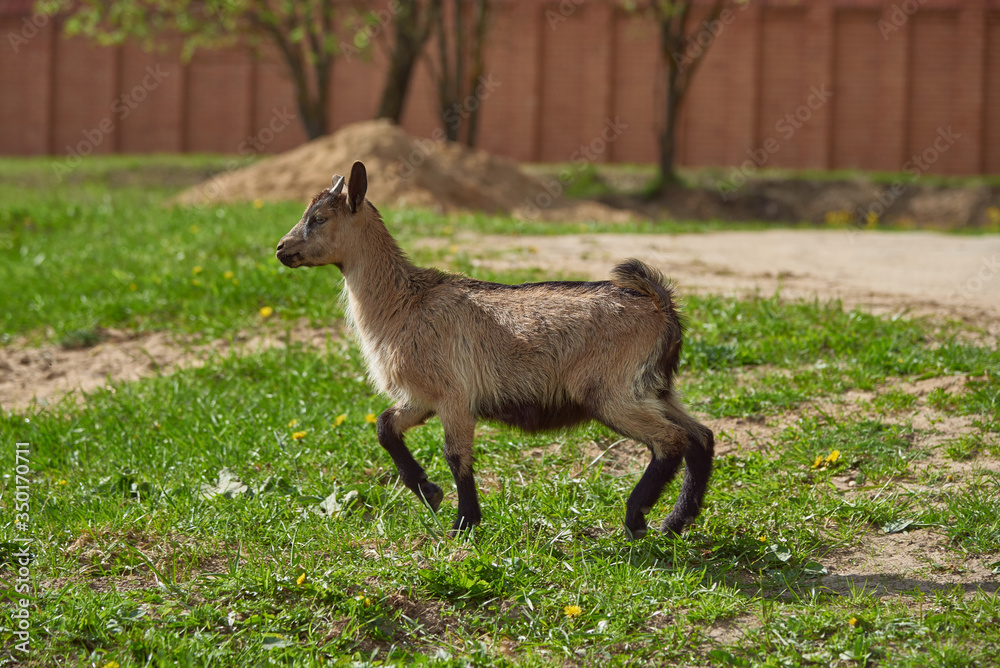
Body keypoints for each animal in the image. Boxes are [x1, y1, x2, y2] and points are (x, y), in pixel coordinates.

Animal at [275, 161, 714, 538]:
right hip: (655, 388)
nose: (281, 248)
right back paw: (675, 522)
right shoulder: (421, 397)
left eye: (319, 218)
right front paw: (430, 493)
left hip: (611, 392)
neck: (404, 303)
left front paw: (463, 523)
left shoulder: (453, 396)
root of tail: (661, 307)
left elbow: (456, 456)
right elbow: (385, 426)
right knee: (701, 436)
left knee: (671, 441)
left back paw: (637, 517)